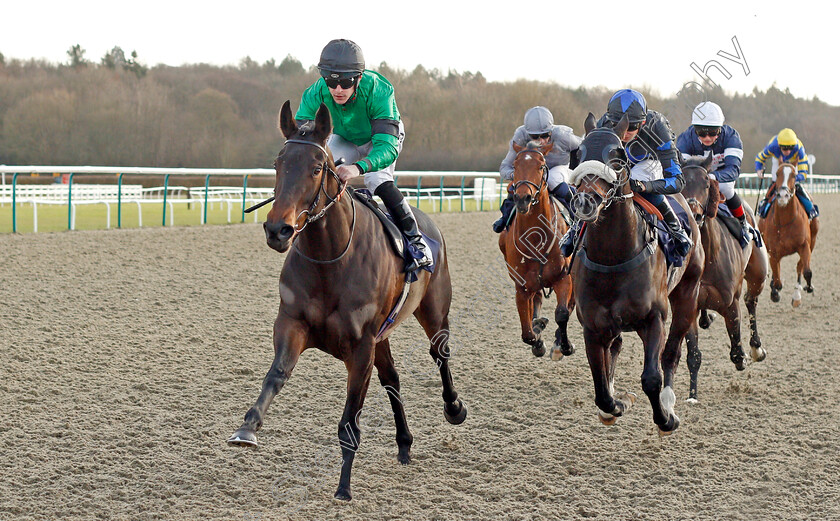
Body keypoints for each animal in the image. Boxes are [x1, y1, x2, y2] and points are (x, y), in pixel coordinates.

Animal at [226, 101, 470, 500]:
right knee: (392, 379)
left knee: (440, 352)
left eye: (316, 168)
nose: (278, 230)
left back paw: (454, 407)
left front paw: (343, 485)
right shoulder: (293, 323)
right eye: (278, 163)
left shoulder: (360, 348)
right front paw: (247, 427)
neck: (330, 260)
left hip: (433, 310)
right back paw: (404, 444)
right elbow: (275, 375)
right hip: (384, 334)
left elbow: (349, 421)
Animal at [498, 142, 576, 362]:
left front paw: (564, 345)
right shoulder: (522, 286)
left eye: (541, 166)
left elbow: (563, 313)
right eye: (515, 165)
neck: (536, 239)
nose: (522, 198)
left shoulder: (564, 277)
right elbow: (527, 332)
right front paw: (538, 339)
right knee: (537, 301)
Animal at [568, 114, 704, 434]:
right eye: (578, 155)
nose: (585, 202)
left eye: (617, 158)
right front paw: (618, 404)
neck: (613, 257)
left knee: (672, 353)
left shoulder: (654, 318)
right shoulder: (592, 327)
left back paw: (669, 402)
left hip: (688, 293)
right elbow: (601, 390)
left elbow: (651, 378)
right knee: (615, 347)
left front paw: (665, 419)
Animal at [684, 156, 768, 400]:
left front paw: (744, 356)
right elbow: (693, 355)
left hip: (758, 273)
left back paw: (756, 348)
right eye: (681, 181)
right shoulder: (688, 304)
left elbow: (736, 348)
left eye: (706, 183)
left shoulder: (730, 302)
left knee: (751, 301)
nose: (694, 215)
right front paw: (692, 395)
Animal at [756, 162, 816, 306]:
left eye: (794, 175)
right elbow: (777, 281)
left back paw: (797, 294)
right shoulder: (773, 252)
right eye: (777, 174)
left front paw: (807, 288)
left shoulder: (804, 246)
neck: (785, 221)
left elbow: (806, 271)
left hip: (813, 241)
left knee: (800, 266)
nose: (783, 195)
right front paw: (775, 293)